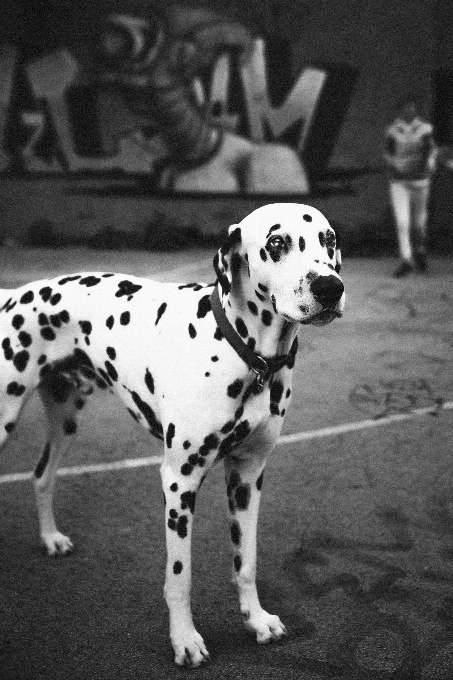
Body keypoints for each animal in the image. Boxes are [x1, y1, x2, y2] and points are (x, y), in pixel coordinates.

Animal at [0, 201, 342, 664]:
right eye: (276, 242)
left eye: (329, 240)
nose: (331, 287)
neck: (246, 355)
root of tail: (15, 294)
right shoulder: (179, 482)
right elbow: (180, 576)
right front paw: (185, 639)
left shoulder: (248, 476)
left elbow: (246, 561)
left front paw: (256, 620)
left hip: (66, 419)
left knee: (41, 475)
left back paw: (50, 538)